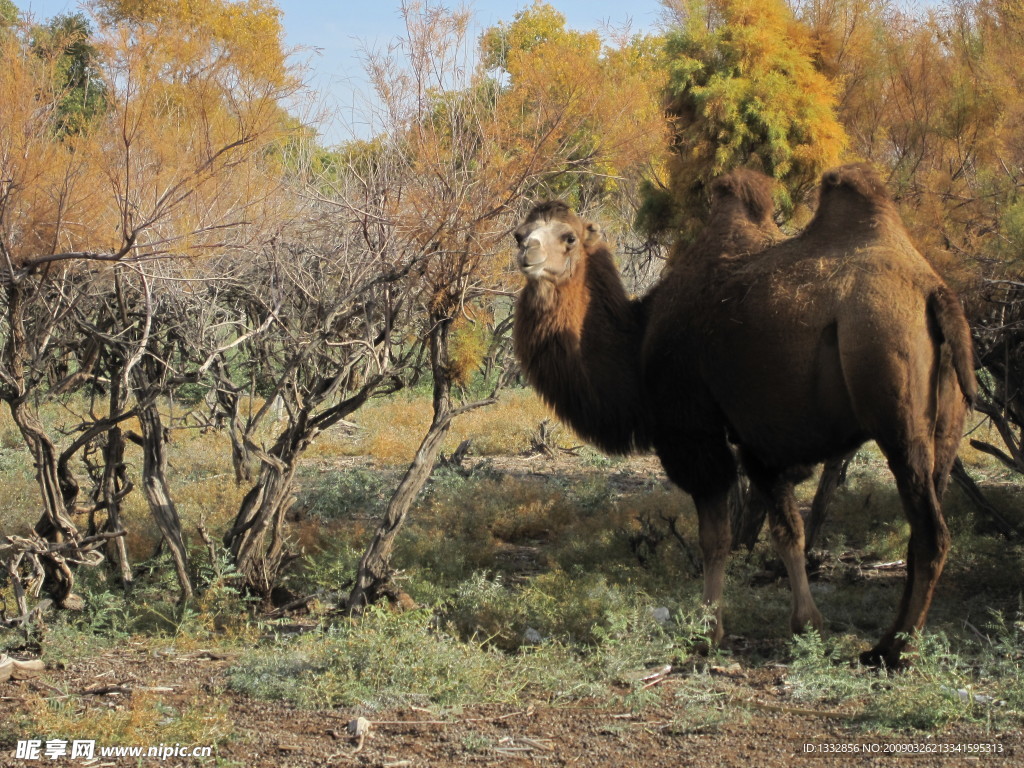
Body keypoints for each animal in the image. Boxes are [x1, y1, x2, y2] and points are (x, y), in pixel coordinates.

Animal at [512, 163, 974, 667]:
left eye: (569, 237)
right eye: (521, 230)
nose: (526, 251)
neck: (638, 341)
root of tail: (935, 293)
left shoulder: (695, 433)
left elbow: (715, 538)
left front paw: (706, 633)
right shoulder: (759, 442)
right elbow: (788, 531)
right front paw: (806, 626)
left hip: (894, 403)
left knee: (931, 533)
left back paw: (895, 650)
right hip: (945, 427)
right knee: (924, 519)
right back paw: (889, 641)